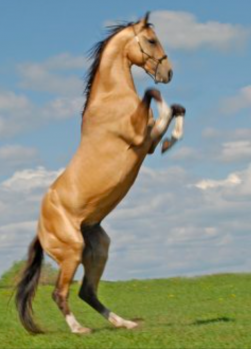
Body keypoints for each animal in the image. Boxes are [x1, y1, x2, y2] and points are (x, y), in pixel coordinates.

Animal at [15, 12, 184, 334]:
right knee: (60, 292)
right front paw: (171, 135)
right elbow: (155, 95)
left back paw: (124, 323)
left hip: (98, 246)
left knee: (87, 291)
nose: (168, 72)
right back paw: (80, 329)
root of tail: (40, 231)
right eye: (151, 40)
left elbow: (176, 109)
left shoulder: (147, 143)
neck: (110, 99)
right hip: (72, 250)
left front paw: (172, 140)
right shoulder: (139, 136)